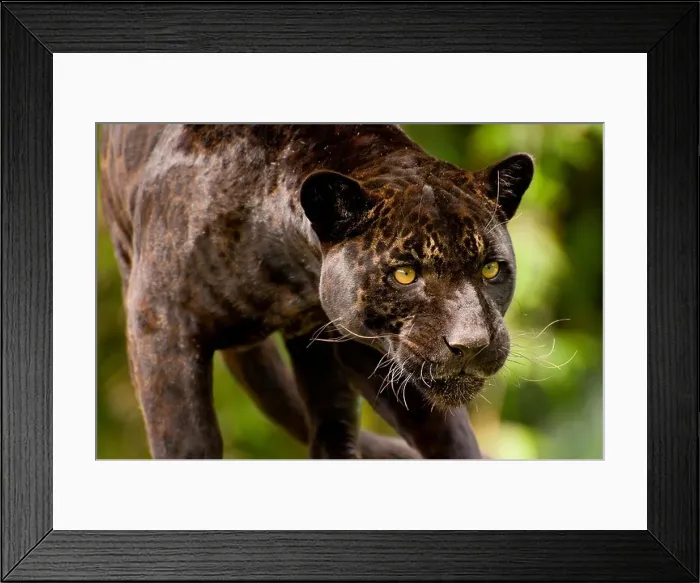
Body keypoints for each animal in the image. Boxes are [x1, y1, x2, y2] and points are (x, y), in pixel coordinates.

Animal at [99, 123, 533, 459]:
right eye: (405, 274)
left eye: (491, 269)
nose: (471, 343)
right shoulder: (162, 329)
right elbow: (189, 444)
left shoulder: (373, 354)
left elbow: (451, 440)